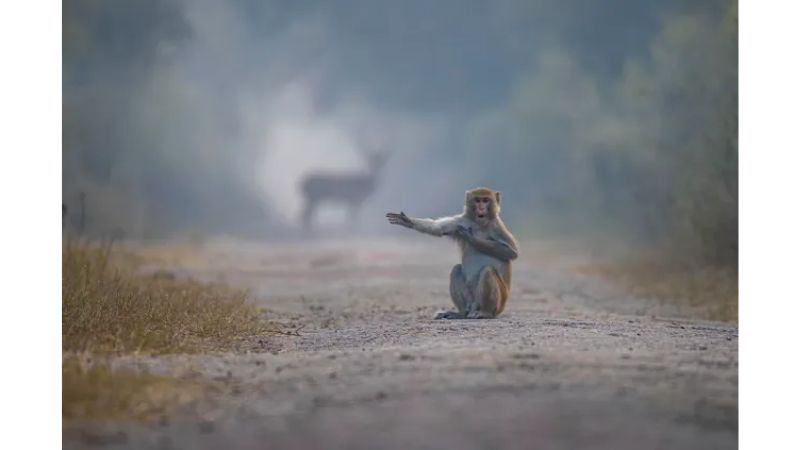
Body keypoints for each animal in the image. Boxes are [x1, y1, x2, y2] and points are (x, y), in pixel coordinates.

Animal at [388, 187, 520, 320]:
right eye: (477, 200)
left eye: (485, 200)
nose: (481, 207)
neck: (479, 223)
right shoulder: (460, 221)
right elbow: (438, 228)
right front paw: (407, 221)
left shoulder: (497, 226)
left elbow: (511, 252)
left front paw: (471, 238)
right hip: (471, 300)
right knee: (456, 269)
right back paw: (461, 313)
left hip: (499, 303)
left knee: (487, 271)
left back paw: (485, 312)